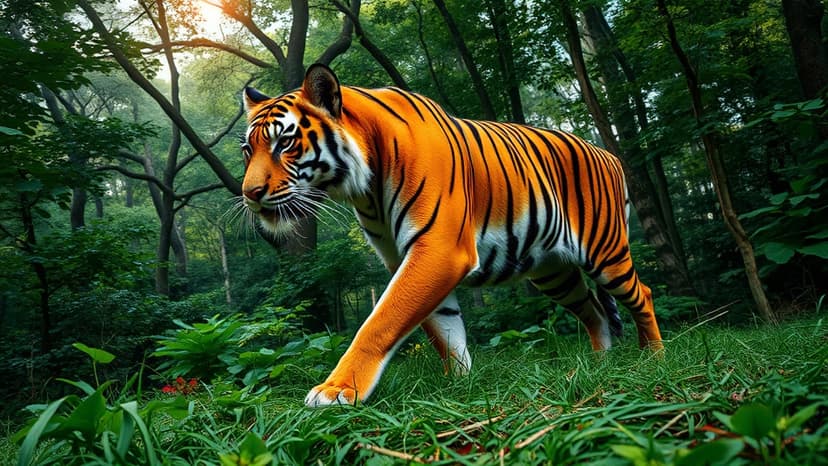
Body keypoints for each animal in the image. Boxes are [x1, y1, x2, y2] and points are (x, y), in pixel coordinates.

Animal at [240, 64, 663, 407]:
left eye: (285, 143)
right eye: (248, 149)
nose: (249, 193)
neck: (365, 187)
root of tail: (609, 154)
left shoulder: (438, 249)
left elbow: (380, 321)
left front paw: (338, 390)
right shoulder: (406, 257)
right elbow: (445, 332)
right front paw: (460, 386)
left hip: (606, 252)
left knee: (642, 294)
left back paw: (654, 356)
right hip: (554, 272)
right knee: (595, 311)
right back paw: (599, 364)